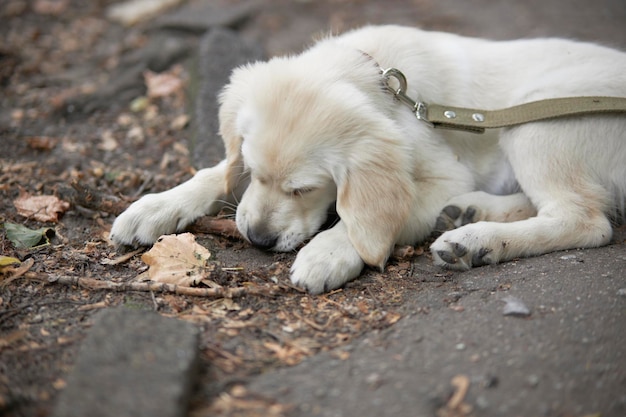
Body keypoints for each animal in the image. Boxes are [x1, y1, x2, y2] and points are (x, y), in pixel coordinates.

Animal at [111, 25, 624, 292]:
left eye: (304, 189)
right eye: (253, 173)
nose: (257, 239)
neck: (378, 76)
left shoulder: (445, 175)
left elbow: (373, 218)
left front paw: (330, 251)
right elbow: (214, 173)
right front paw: (155, 206)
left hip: (538, 120)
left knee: (586, 220)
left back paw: (475, 240)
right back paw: (468, 215)